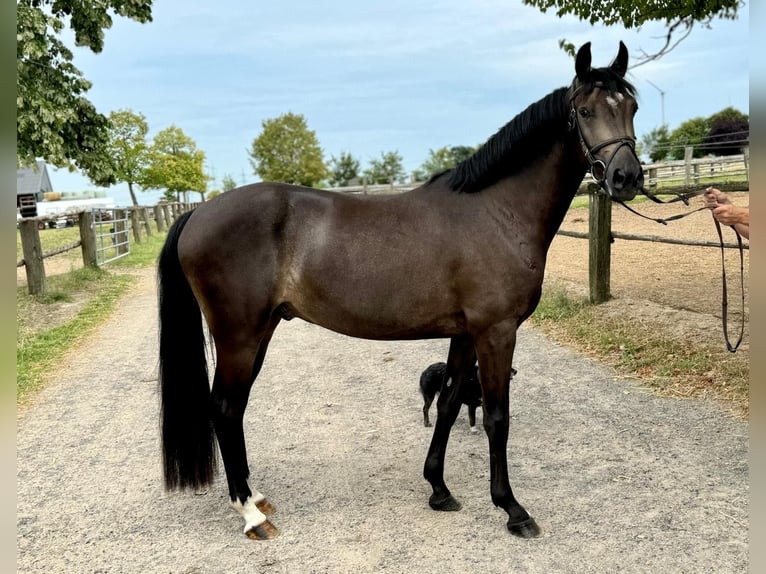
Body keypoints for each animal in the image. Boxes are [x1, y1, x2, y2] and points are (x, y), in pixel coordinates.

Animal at [159, 42, 644, 544]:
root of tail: (197, 213)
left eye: (631, 108)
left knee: (233, 409)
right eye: (585, 111)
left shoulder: (465, 333)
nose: (626, 177)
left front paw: (439, 489)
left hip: (261, 332)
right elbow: (497, 418)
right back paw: (250, 514)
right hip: (240, 337)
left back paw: (255, 498)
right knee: (224, 408)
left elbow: (448, 404)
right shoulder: (496, 332)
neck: (496, 212)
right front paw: (512, 509)